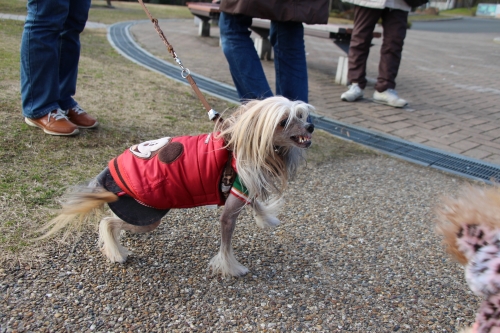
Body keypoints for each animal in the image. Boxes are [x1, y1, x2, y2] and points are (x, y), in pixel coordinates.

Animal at [39, 96, 314, 278]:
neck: (241, 143)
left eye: (301, 116)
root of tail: (107, 174)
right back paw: (116, 251)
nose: (311, 127)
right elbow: (226, 244)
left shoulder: (243, 187)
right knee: (107, 222)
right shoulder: (231, 206)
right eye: (283, 121)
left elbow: (255, 203)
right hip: (146, 214)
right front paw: (232, 268)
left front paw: (267, 218)